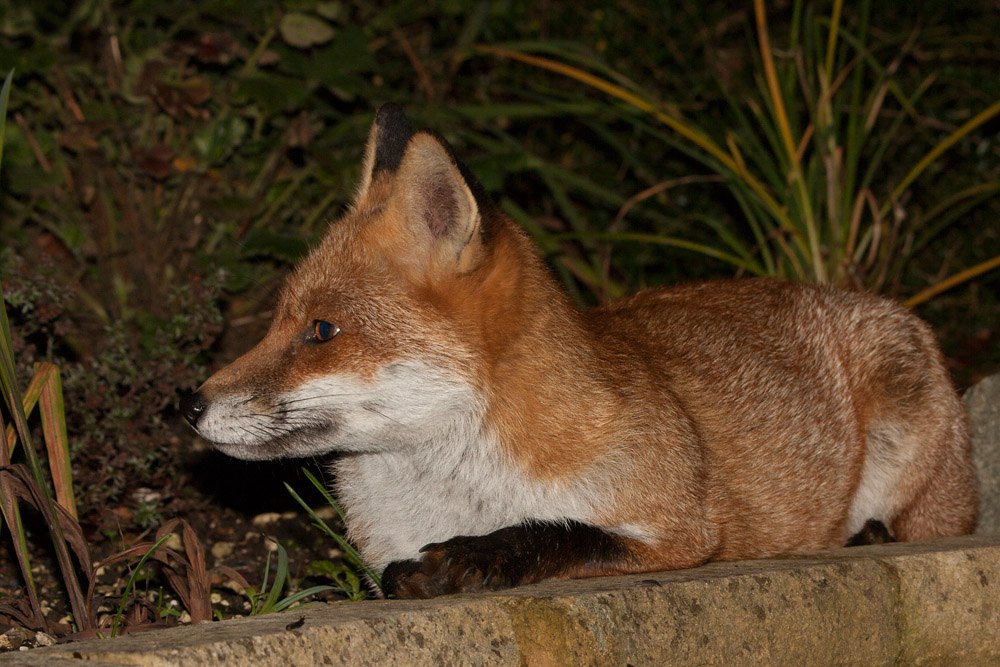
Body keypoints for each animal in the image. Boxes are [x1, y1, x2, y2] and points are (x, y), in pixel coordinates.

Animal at [182, 104, 977, 599]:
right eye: (277, 321)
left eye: (320, 331)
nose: (188, 403)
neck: (453, 486)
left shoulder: (682, 531)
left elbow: (552, 535)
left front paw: (467, 560)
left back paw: (870, 532)